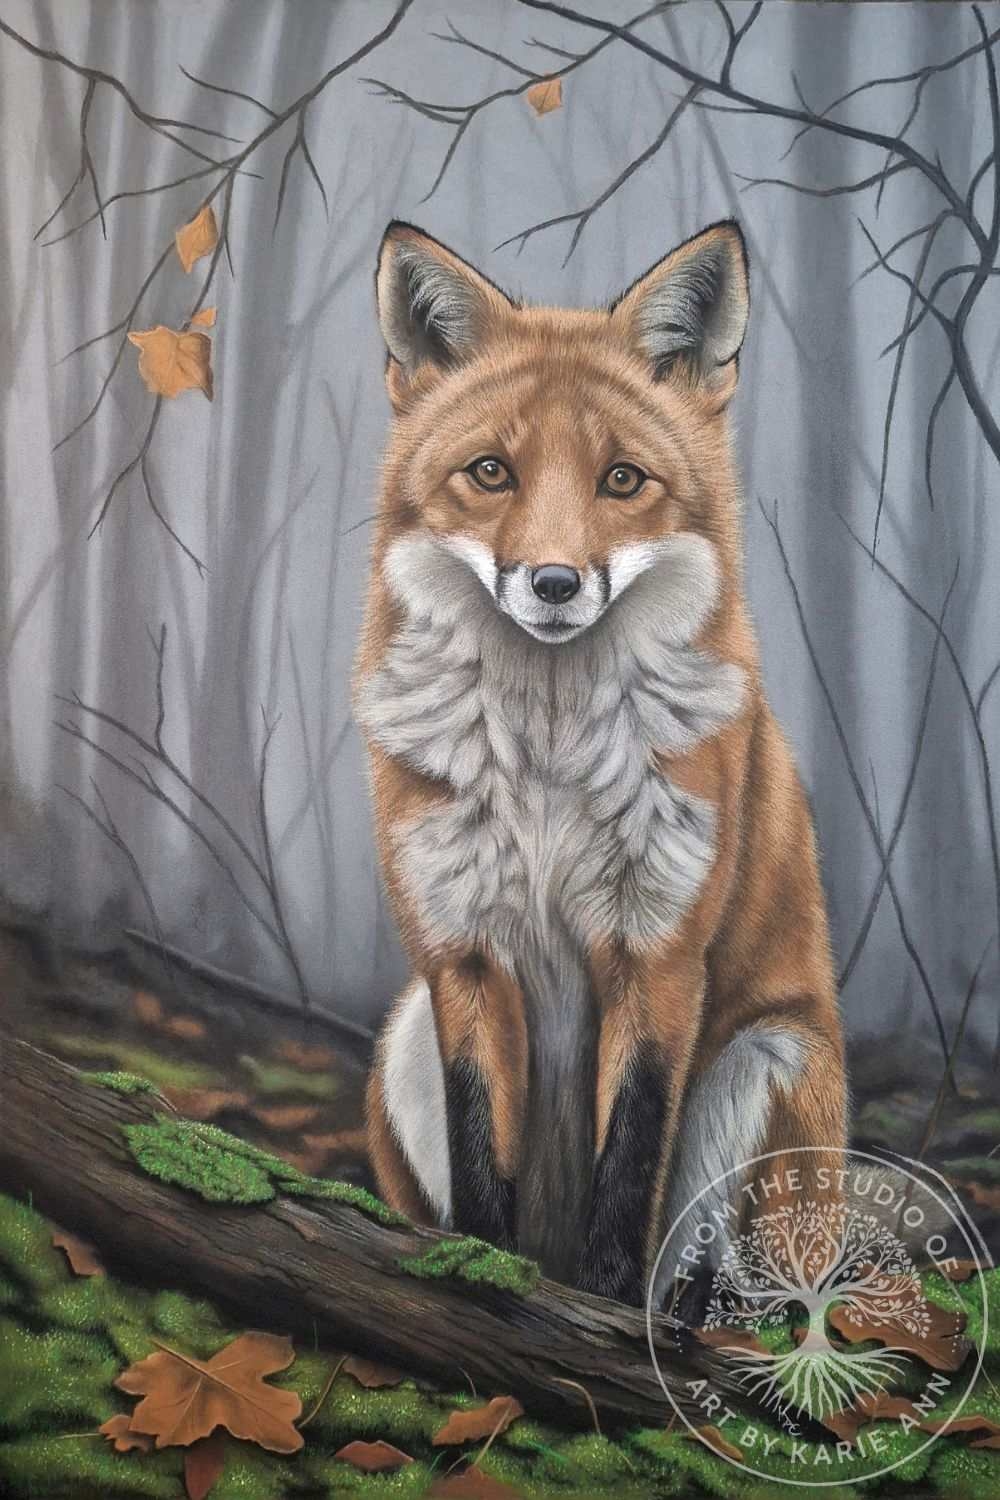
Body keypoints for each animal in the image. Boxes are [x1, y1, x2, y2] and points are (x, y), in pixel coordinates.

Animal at [355, 218, 846, 1309]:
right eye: (491, 473)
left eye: (621, 480)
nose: (552, 582)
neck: (548, 764)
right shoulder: (460, 951)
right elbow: (478, 1150)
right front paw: (480, 1272)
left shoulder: (656, 951)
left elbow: (629, 1162)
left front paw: (605, 1303)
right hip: (403, 1030)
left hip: (764, 1062)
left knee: (735, 1296)